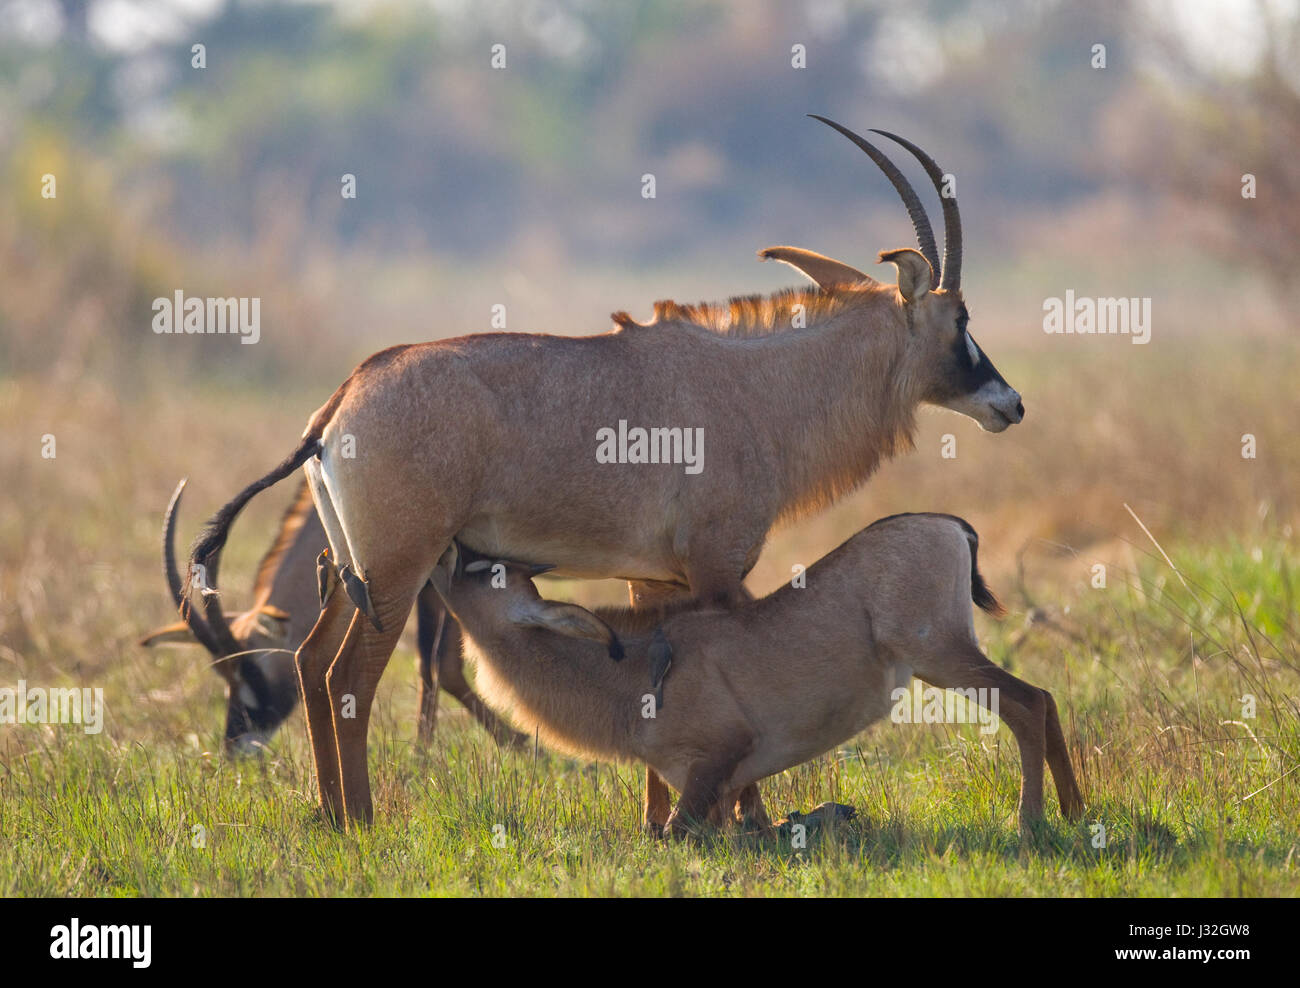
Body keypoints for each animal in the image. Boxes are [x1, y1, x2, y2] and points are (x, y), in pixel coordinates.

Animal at [143, 475, 522, 748]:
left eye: (253, 670)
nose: (236, 747)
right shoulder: (425, 583)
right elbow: (429, 665)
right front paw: (422, 757)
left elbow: (442, 665)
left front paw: (523, 744)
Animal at [189, 115, 1024, 832]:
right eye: (960, 321)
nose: (1009, 403)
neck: (755, 388)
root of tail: (338, 407)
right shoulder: (718, 566)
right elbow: (741, 666)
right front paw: (749, 820)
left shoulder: (652, 575)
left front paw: (659, 817)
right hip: (400, 568)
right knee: (347, 679)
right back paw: (360, 819)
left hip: (354, 570)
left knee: (308, 659)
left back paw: (328, 811)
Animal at [428, 512, 1086, 837]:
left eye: (488, 570)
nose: (447, 548)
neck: (629, 673)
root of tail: (952, 526)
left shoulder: (721, 755)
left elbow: (678, 831)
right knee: (1046, 699)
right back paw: (1077, 813)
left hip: (940, 656)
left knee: (1028, 703)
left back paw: (1030, 823)